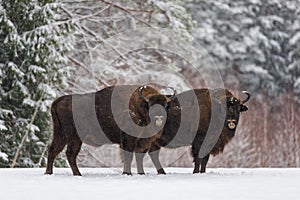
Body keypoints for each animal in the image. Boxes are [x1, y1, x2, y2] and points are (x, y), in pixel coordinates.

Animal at [44, 85, 176, 176]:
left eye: (165, 105)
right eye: (151, 105)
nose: (159, 118)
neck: (139, 106)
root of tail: (58, 101)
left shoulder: (142, 142)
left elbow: (137, 157)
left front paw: (139, 173)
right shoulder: (128, 139)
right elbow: (128, 156)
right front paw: (127, 173)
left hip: (60, 135)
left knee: (53, 150)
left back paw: (49, 173)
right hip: (74, 137)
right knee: (70, 154)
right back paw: (78, 174)